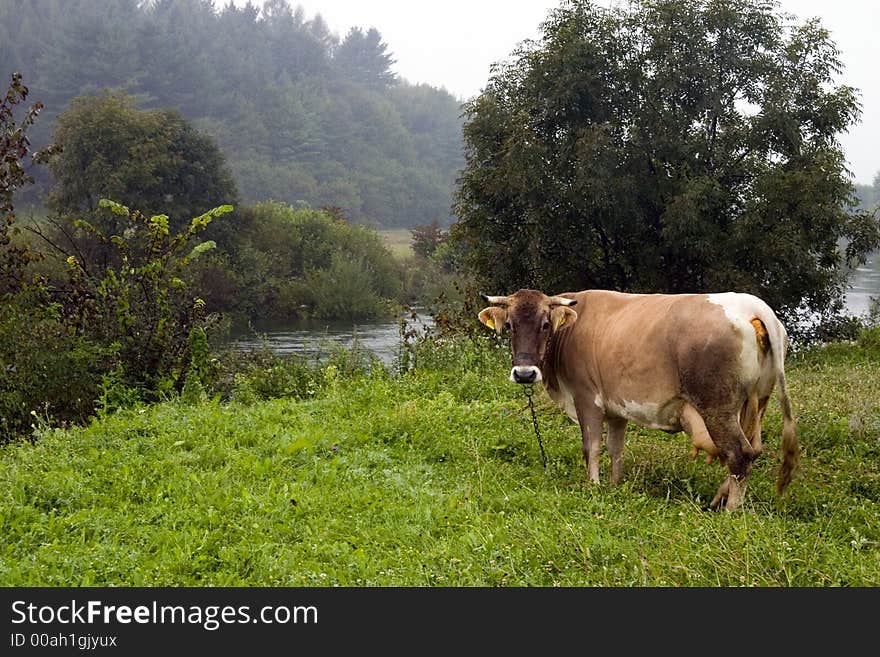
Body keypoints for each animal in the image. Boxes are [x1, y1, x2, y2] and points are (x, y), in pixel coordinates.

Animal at [478, 290, 800, 510]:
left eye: (546, 324)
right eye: (510, 325)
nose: (524, 373)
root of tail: (752, 305)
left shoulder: (586, 399)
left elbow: (591, 447)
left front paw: (593, 487)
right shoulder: (616, 408)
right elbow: (615, 448)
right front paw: (615, 485)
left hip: (717, 407)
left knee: (738, 454)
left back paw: (731, 511)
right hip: (756, 401)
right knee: (753, 449)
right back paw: (719, 499)